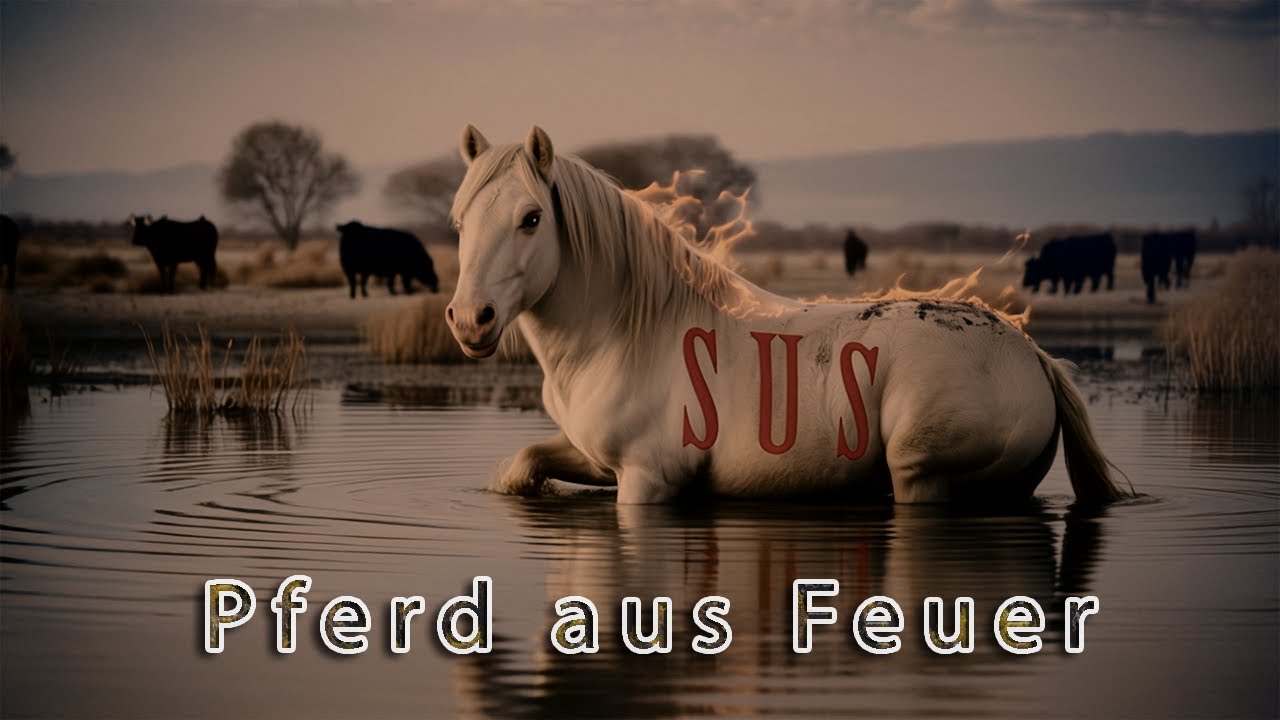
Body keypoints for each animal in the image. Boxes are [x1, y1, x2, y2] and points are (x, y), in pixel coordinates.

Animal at [446, 125, 1131, 506]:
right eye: (458, 220)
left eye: (532, 218)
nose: (470, 319)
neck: (622, 335)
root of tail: (1030, 353)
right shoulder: (597, 459)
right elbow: (524, 465)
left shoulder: (646, 481)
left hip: (920, 476)